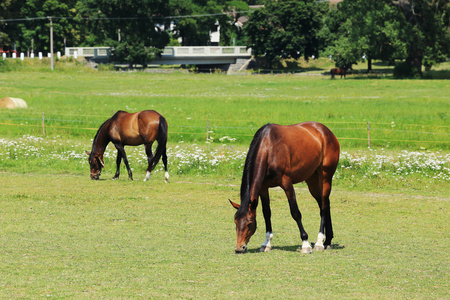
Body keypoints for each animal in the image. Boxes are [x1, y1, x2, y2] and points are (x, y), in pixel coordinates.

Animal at [230, 121, 340, 253]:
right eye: (235, 222)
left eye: (249, 223)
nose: (239, 248)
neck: (269, 148)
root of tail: (326, 131)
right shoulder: (263, 188)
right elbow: (266, 213)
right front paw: (266, 243)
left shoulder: (287, 183)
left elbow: (295, 212)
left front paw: (305, 244)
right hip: (312, 180)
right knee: (324, 204)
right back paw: (327, 241)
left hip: (325, 178)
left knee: (323, 206)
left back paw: (319, 242)